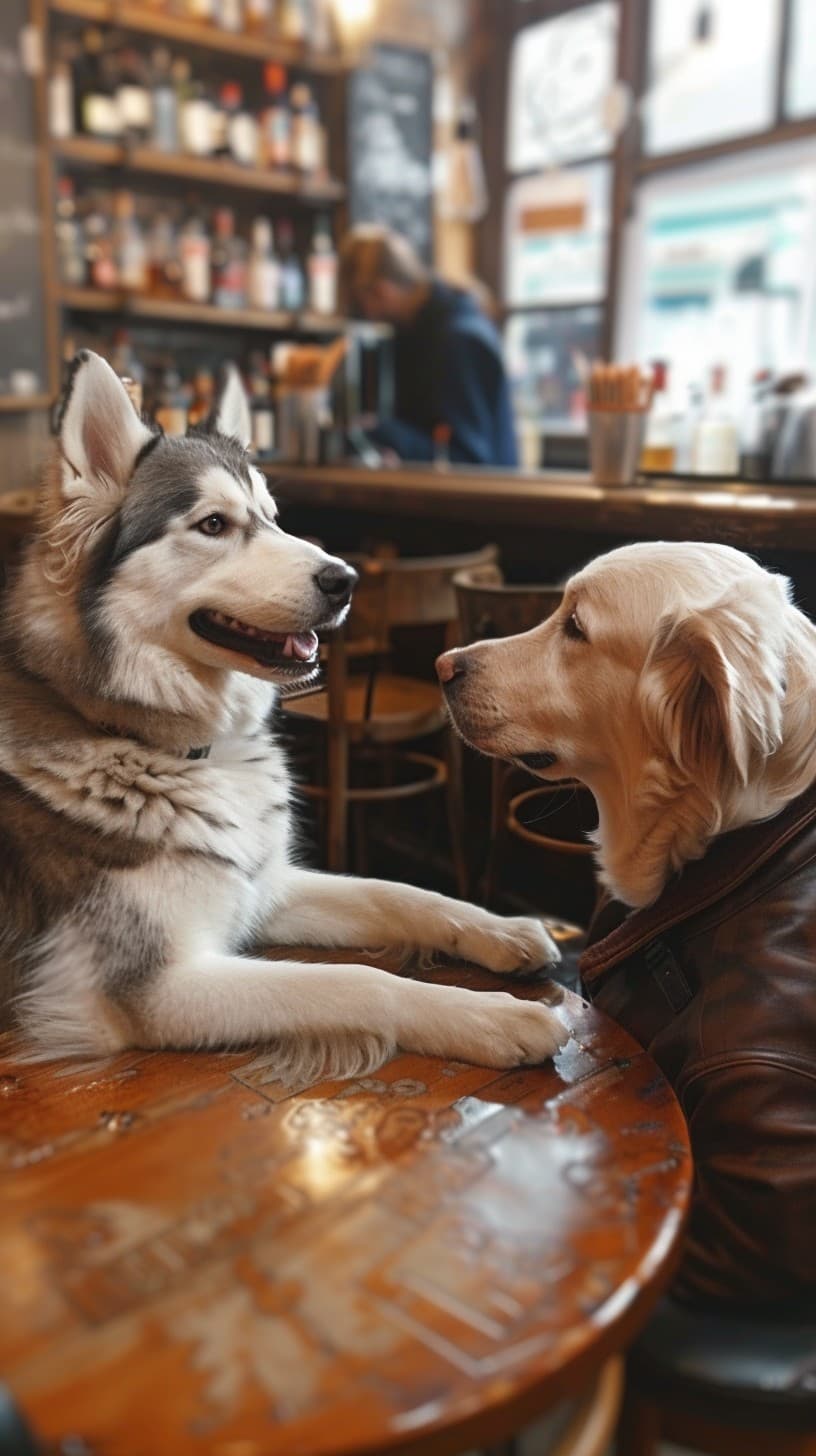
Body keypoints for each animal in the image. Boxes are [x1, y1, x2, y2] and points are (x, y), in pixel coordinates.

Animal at [0, 352, 568, 1083]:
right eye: (213, 524)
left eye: (273, 517)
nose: (347, 580)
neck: (173, 746)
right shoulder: (157, 987)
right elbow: (357, 982)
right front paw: (494, 1017)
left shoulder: (263, 886)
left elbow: (400, 894)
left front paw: (500, 929)